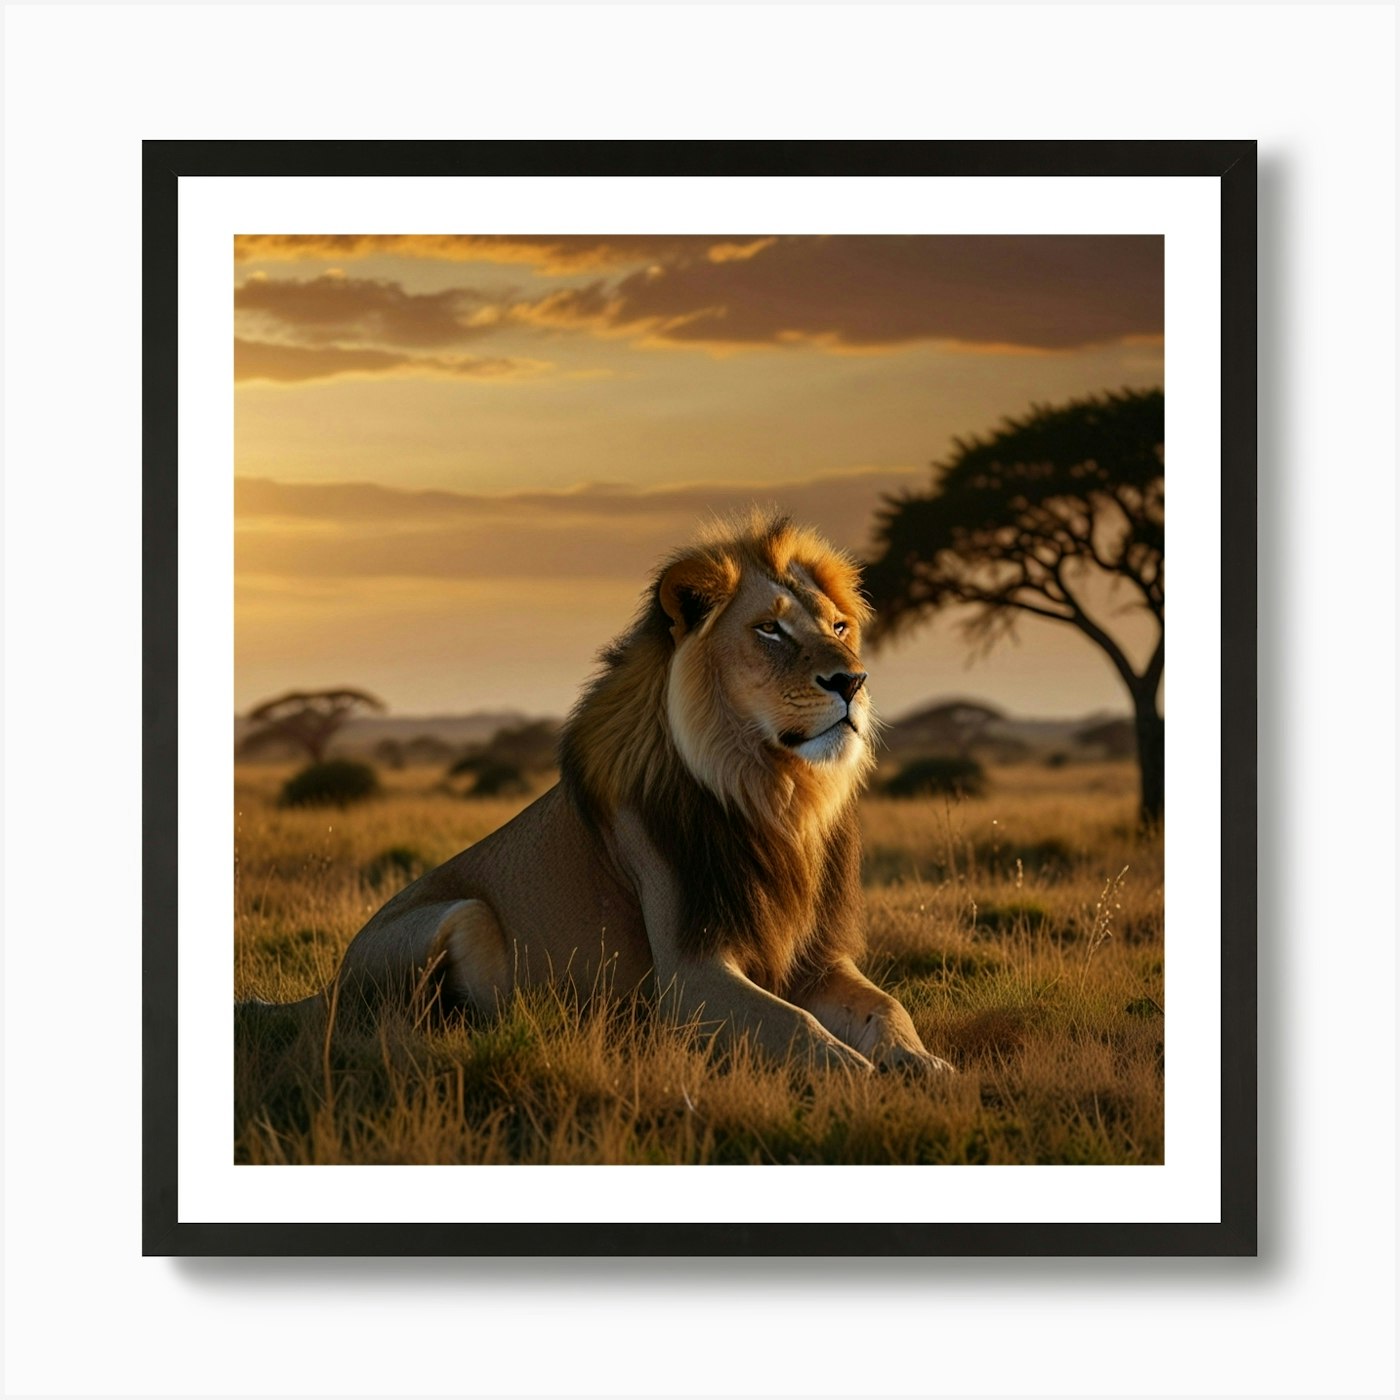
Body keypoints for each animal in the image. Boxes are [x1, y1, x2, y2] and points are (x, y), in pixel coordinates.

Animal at [302, 511, 953, 1073]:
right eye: (769, 629)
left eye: (839, 627)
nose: (853, 681)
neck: (776, 797)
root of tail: (324, 989)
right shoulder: (689, 975)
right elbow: (796, 1024)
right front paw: (854, 1072)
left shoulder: (817, 959)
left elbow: (888, 1006)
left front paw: (924, 1065)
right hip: (462, 914)